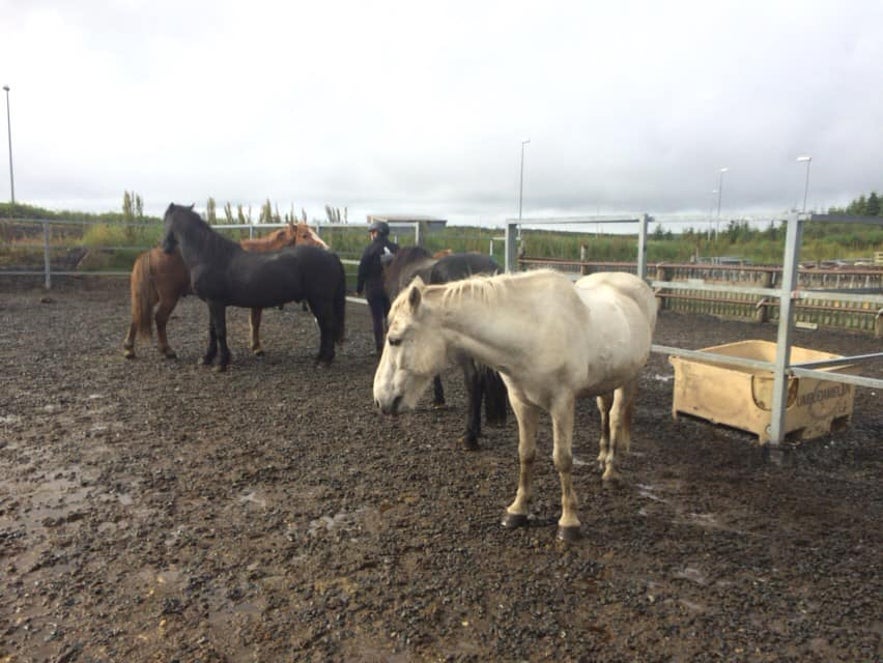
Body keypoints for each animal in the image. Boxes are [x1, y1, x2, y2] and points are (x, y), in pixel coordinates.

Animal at [122, 222, 326, 358]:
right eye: (305, 235)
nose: (325, 248)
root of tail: (152, 252)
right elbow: (255, 323)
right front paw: (257, 347)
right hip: (169, 297)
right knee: (160, 319)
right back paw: (167, 350)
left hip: (152, 295)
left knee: (136, 316)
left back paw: (129, 348)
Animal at [161, 204, 346, 368]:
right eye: (304, 235)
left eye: (165, 221)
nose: (165, 248)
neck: (209, 255)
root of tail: (331, 255)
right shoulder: (211, 303)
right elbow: (212, 330)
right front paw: (206, 358)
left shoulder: (216, 302)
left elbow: (220, 330)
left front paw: (221, 363)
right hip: (316, 301)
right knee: (324, 327)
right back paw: (319, 358)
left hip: (321, 301)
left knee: (328, 326)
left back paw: (325, 361)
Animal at [372, 268, 656, 544]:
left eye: (394, 340)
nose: (379, 399)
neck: (532, 330)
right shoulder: (520, 401)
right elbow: (525, 454)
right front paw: (517, 510)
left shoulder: (562, 403)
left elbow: (562, 459)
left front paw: (569, 522)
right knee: (605, 411)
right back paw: (602, 457)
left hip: (629, 378)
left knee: (616, 416)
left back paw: (611, 471)